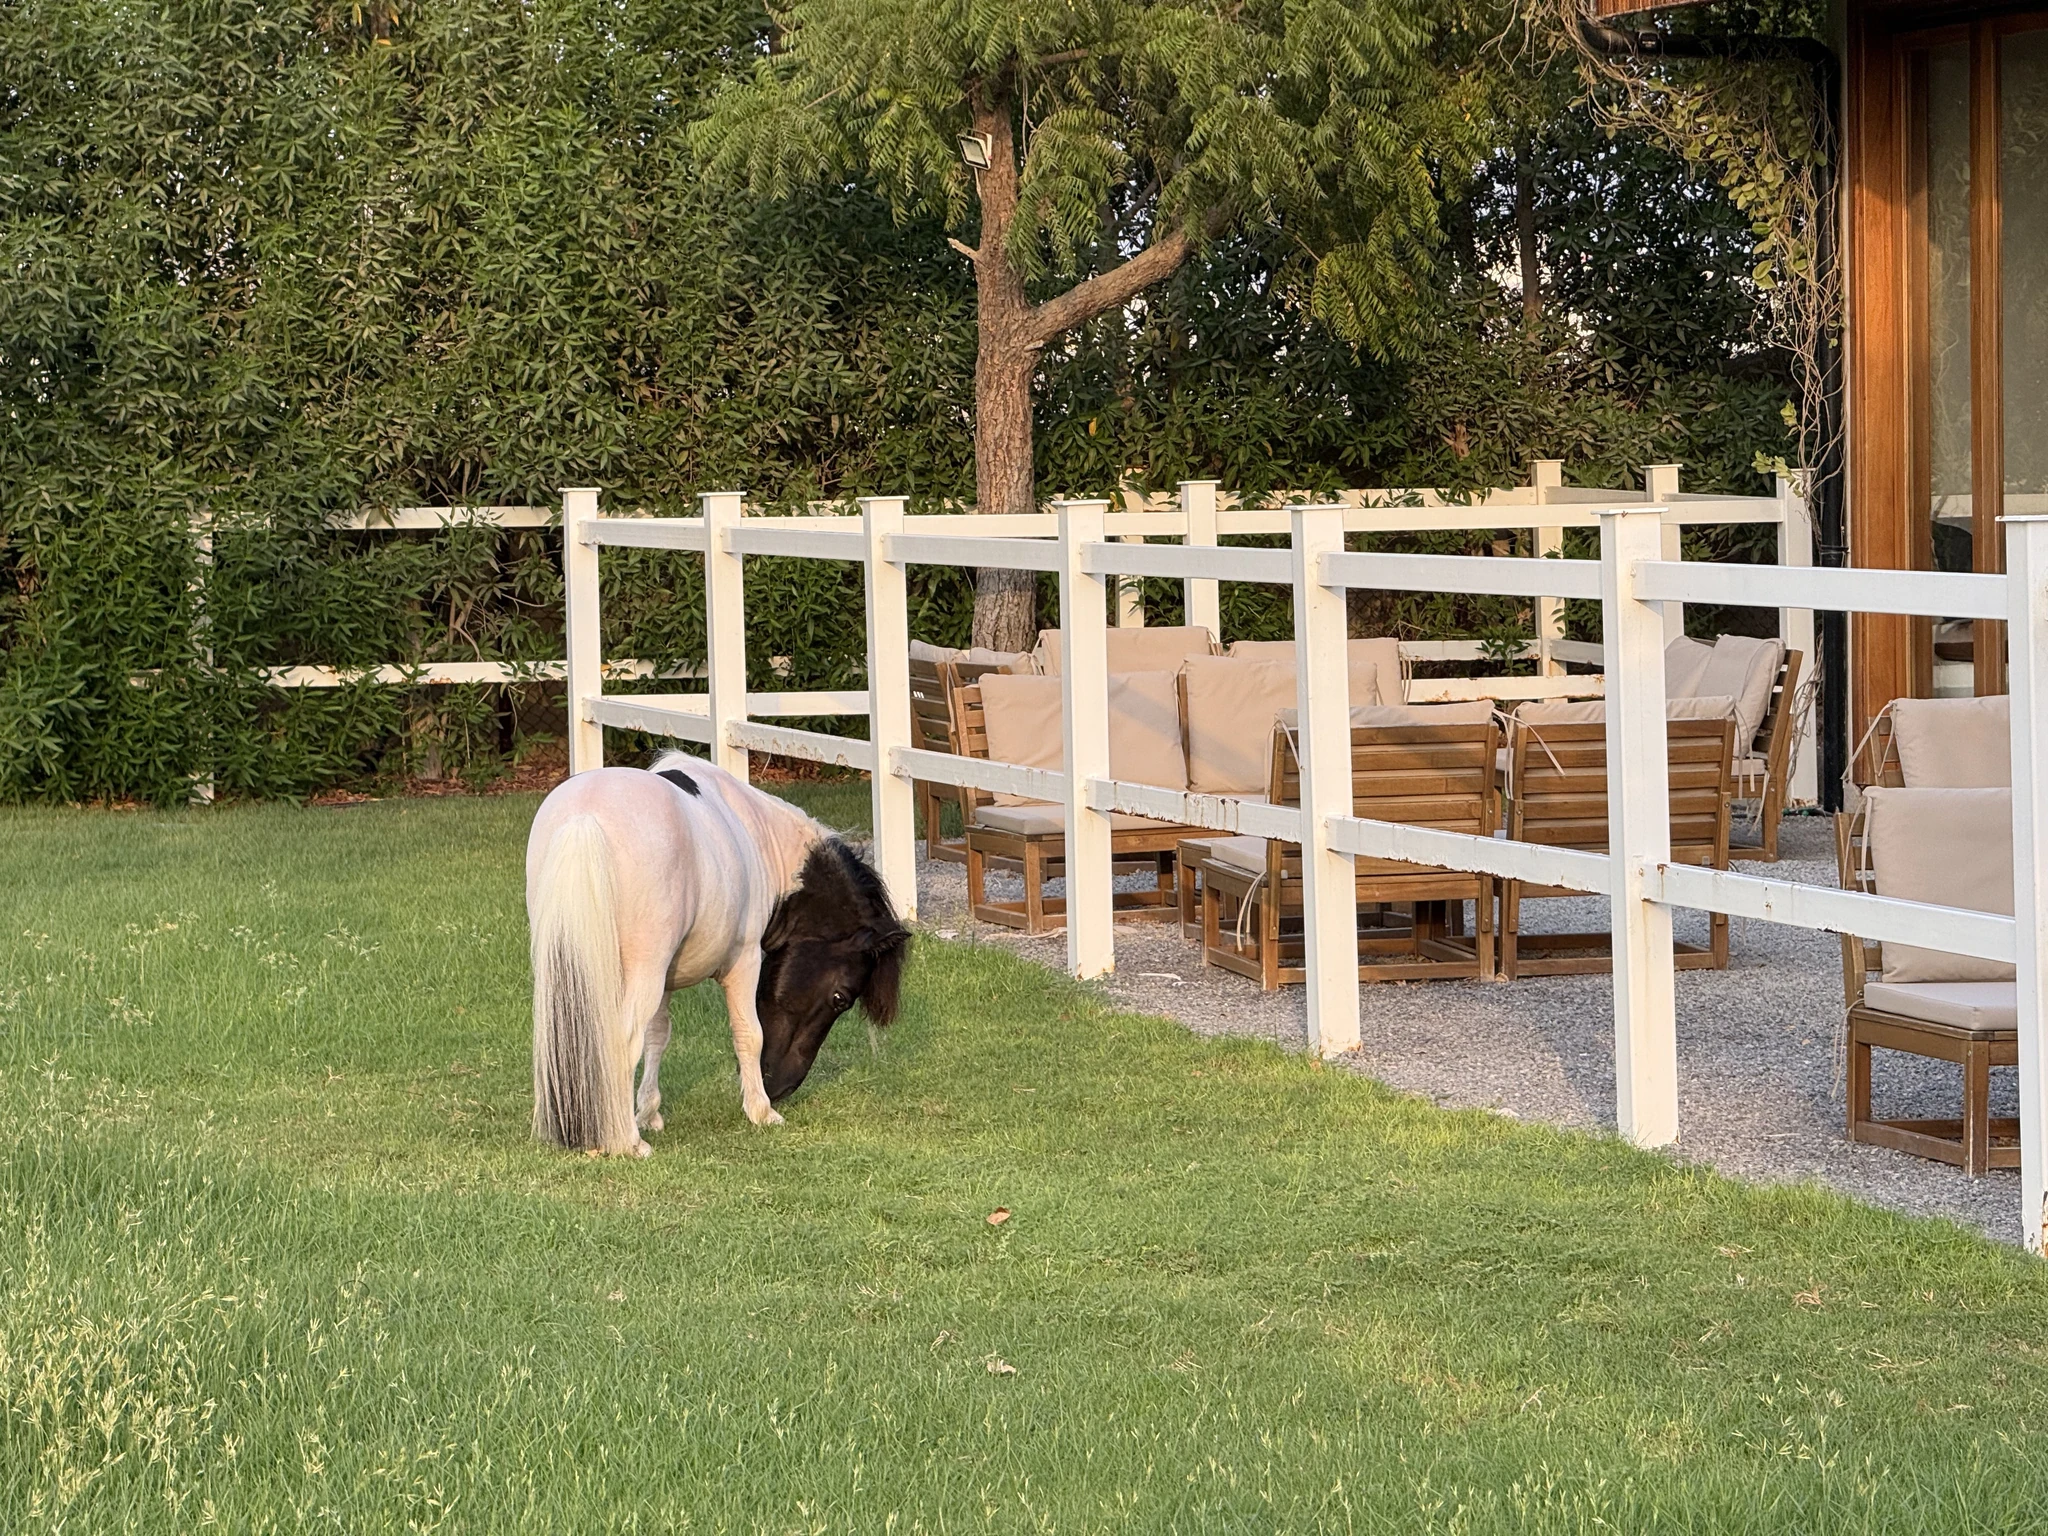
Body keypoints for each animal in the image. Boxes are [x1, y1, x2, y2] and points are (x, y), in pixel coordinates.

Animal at [525, 750, 909, 1156]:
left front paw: (649, 1113)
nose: (779, 1087)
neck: (760, 839)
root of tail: (585, 817)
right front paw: (760, 1111)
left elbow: (658, 1036)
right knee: (622, 1041)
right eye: (840, 998)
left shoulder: (666, 978)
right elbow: (748, 1033)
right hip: (642, 970)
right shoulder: (743, 960)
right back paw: (628, 1142)